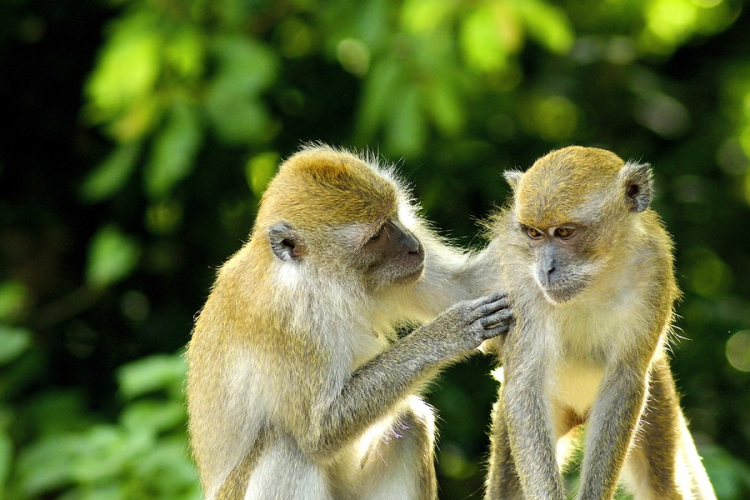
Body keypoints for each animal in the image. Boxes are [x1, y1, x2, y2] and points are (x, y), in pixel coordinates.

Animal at [186, 145, 516, 500]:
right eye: (376, 235)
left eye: (394, 217)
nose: (414, 246)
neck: (318, 280)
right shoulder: (286, 322)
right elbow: (319, 432)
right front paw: (451, 331)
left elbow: (465, 286)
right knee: (288, 447)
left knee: (409, 421)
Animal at [482, 146, 716, 500]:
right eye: (534, 233)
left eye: (565, 232)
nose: (546, 270)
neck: (598, 273)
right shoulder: (522, 280)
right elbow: (525, 384)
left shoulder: (654, 269)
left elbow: (624, 379)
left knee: (665, 483)